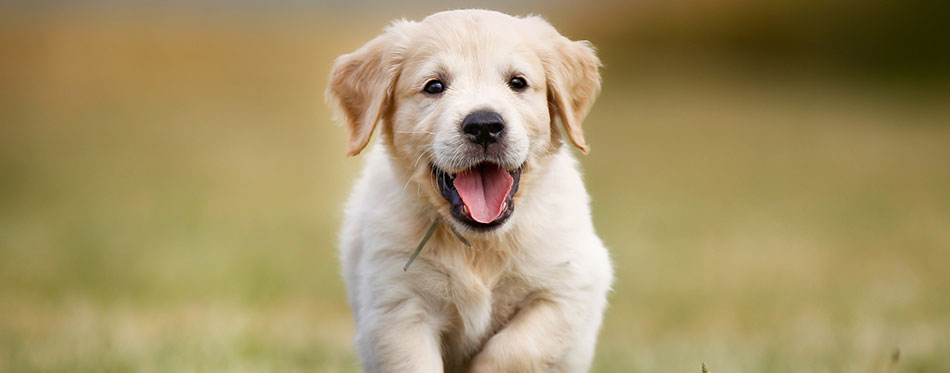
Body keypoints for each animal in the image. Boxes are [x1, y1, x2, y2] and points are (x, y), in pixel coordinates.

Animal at [326, 9, 608, 372]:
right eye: (434, 86)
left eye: (518, 82)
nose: (485, 125)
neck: (479, 245)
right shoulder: (397, 308)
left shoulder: (568, 290)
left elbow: (516, 349)